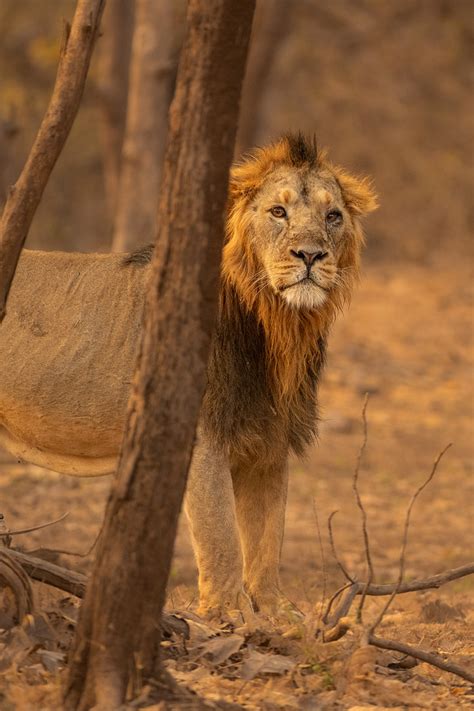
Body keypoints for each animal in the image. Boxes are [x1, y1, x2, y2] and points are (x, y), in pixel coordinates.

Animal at [0, 134, 378, 616]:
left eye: (333, 217)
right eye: (278, 212)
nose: (311, 255)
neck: (277, 328)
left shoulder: (269, 442)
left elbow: (266, 535)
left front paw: (275, 611)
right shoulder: (201, 436)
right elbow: (221, 538)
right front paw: (229, 614)